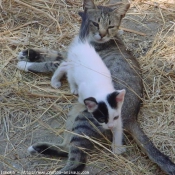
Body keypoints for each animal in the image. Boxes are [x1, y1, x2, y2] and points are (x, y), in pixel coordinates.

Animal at [17, 0, 175, 174]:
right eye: (96, 23)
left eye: (111, 26)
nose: (102, 34)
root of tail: (132, 117)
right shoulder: (68, 54)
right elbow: (53, 52)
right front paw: (29, 53)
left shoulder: (71, 61)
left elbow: (50, 63)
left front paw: (26, 64)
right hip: (74, 114)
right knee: (67, 147)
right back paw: (38, 148)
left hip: (86, 119)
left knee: (77, 159)